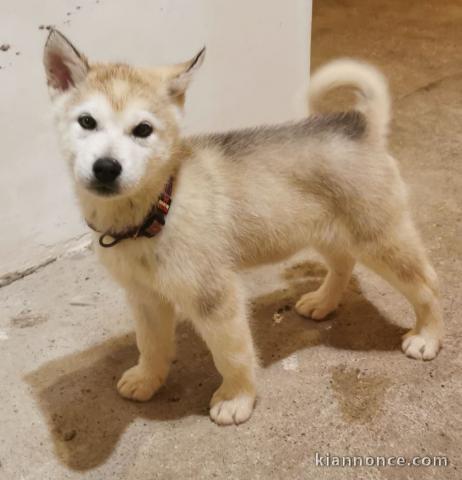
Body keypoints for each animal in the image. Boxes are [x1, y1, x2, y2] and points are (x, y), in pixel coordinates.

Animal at [44, 31, 444, 426]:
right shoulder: (145, 297)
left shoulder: (216, 298)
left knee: (427, 284)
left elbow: (231, 353)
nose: (106, 168)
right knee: (344, 264)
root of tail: (362, 129)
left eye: (143, 130)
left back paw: (427, 336)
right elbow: (151, 344)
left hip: (380, 240)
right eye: (86, 122)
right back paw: (323, 302)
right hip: (323, 231)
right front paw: (147, 379)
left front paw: (236, 398)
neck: (159, 209)